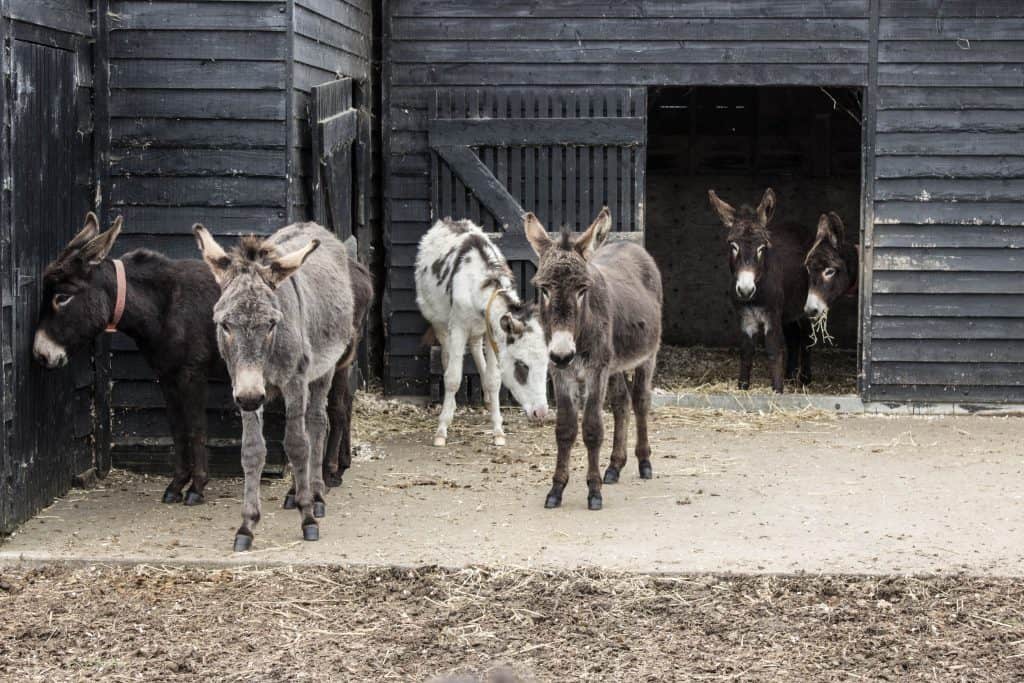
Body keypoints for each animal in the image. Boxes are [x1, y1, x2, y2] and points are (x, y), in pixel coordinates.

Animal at [195, 222, 356, 552]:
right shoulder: (242, 385)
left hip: (323, 371)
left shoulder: (294, 381)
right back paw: (296, 492)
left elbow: (297, 445)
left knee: (316, 425)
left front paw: (307, 518)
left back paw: (315, 494)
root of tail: (313, 225)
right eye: (224, 324)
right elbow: (252, 450)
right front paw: (247, 525)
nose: (250, 397)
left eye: (271, 324)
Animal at [528, 210, 663, 509]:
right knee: (622, 402)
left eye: (582, 290)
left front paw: (594, 491)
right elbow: (565, 428)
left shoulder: (596, 370)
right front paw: (556, 490)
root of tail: (628, 243)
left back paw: (644, 462)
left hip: (647, 355)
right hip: (615, 364)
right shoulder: (560, 372)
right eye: (543, 289)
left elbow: (592, 428)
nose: (563, 353)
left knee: (640, 401)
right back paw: (614, 466)